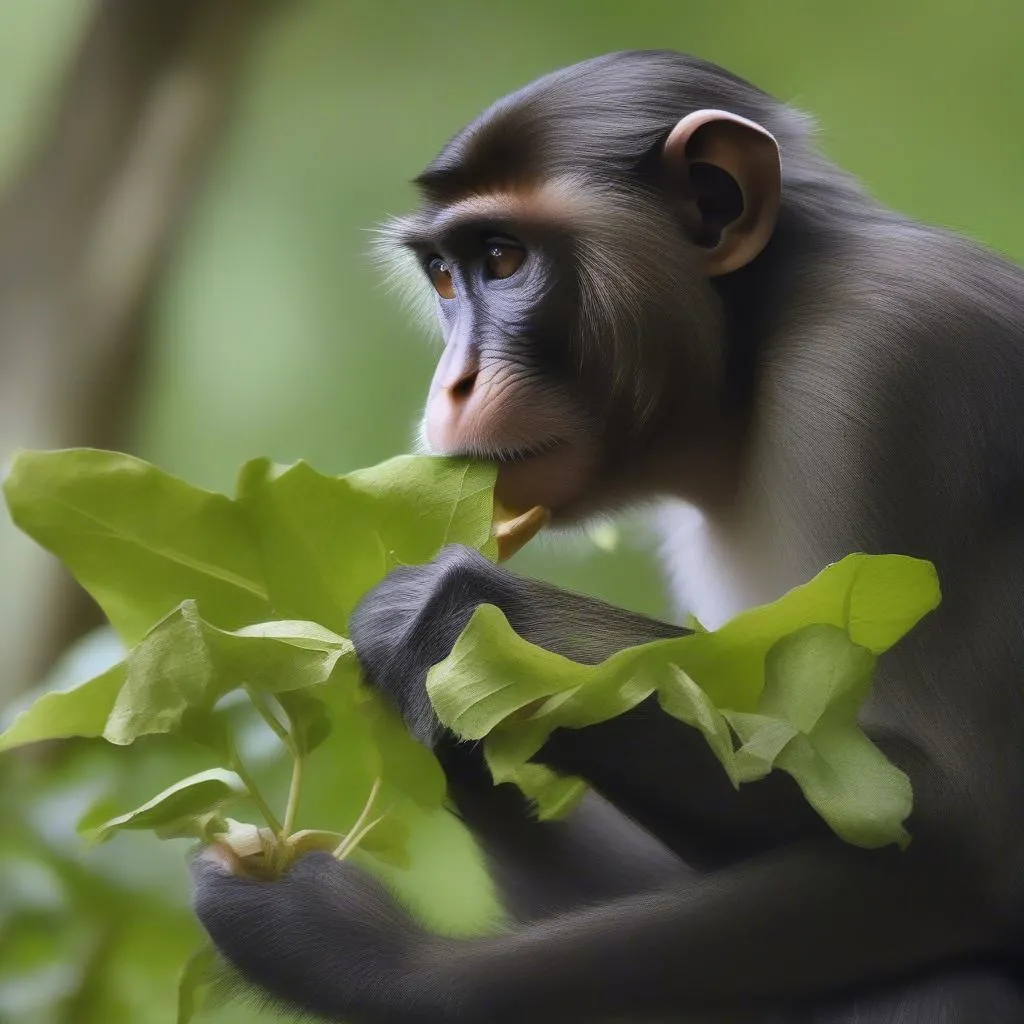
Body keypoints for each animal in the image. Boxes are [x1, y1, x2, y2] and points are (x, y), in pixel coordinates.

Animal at [192, 49, 1024, 1024]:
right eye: (445, 276)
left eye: (503, 259)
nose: (452, 384)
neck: (757, 353)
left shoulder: (897, 370)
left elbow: (971, 842)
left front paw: (344, 946)